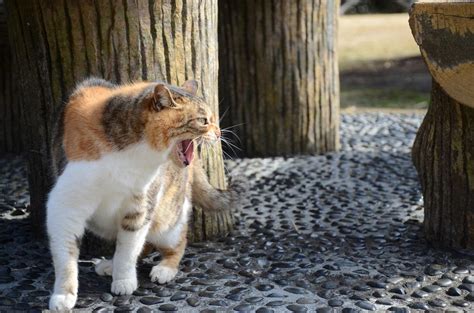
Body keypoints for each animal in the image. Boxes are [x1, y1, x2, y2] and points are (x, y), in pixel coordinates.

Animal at [47, 76, 237, 310]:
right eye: (203, 120)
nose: (219, 133)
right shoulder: (65, 206)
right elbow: (66, 256)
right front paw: (63, 295)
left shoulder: (140, 206)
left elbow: (128, 250)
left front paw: (124, 281)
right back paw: (110, 264)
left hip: (167, 219)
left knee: (176, 242)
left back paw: (164, 269)